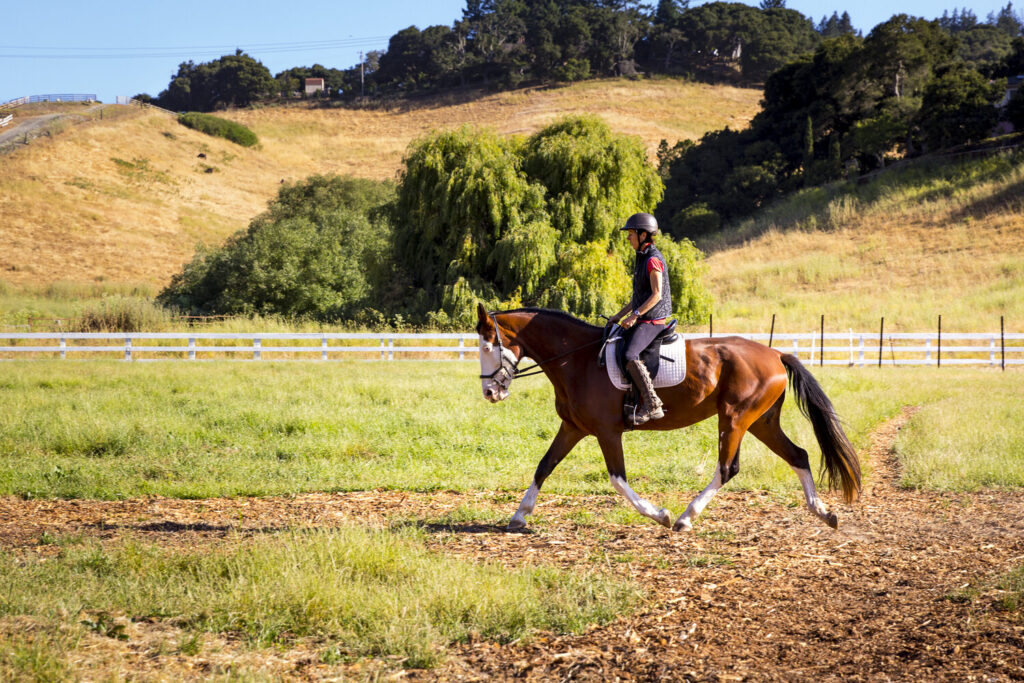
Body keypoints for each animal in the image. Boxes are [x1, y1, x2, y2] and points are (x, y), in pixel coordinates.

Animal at [475, 305, 860, 532]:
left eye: (487, 346)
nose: (490, 393)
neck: (577, 359)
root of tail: (776, 353)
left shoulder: (606, 432)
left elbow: (617, 479)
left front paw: (658, 514)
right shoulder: (572, 428)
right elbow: (544, 466)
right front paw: (519, 515)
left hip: (734, 418)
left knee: (727, 468)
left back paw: (686, 518)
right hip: (762, 422)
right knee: (799, 455)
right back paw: (823, 512)